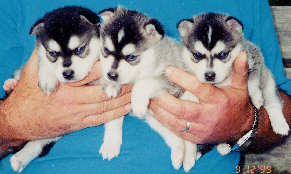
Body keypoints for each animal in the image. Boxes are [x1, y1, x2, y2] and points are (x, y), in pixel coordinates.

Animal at [5, 6, 101, 172]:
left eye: (80, 49)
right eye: (53, 53)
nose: (67, 74)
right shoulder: (41, 54)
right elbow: (44, 61)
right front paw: (48, 78)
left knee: (37, 144)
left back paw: (20, 158)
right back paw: (11, 83)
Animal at [97, 6, 200, 171]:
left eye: (131, 57)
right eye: (106, 50)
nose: (111, 75)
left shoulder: (167, 78)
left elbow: (144, 83)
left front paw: (138, 103)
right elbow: (114, 117)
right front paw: (110, 144)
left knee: (189, 139)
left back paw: (189, 159)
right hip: (156, 120)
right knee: (175, 138)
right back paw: (178, 155)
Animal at [177, 12, 290, 155]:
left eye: (223, 54)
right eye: (197, 55)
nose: (209, 75)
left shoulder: (254, 55)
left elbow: (252, 78)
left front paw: (255, 96)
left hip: (268, 82)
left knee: (273, 102)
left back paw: (279, 123)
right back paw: (217, 147)